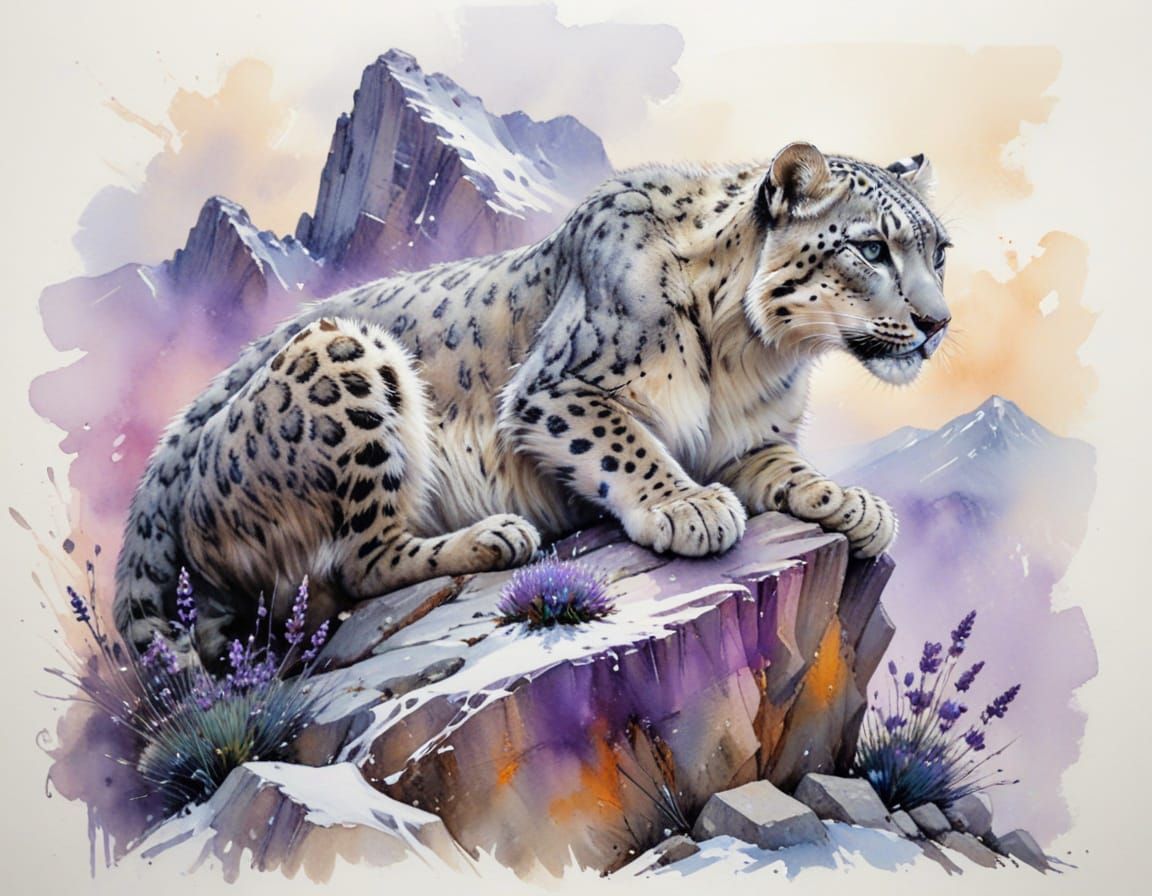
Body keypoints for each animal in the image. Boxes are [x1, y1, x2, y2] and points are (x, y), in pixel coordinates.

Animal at [113, 142, 951, 666]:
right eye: (871, 248)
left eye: (938, 252)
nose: (938, 323)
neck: (756, 353)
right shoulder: (556, 388)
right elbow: (626, 443)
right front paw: (686, 507)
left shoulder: (746, 442)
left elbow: (785, 465)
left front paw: (851, 502)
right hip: (353, 364)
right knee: (355, 563)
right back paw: (495, 537)